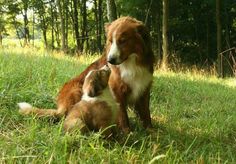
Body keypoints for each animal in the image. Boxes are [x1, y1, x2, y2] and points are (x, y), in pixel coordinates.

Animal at [18, 16, 155, 133]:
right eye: (110, 41)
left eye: (123, 41)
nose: (110, 60)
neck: (131, 63)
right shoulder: (118, 91)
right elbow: (123, 115)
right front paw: (127, 132)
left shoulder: (144, 90)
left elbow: (146, 113)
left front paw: (150, 131)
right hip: (78, 89)